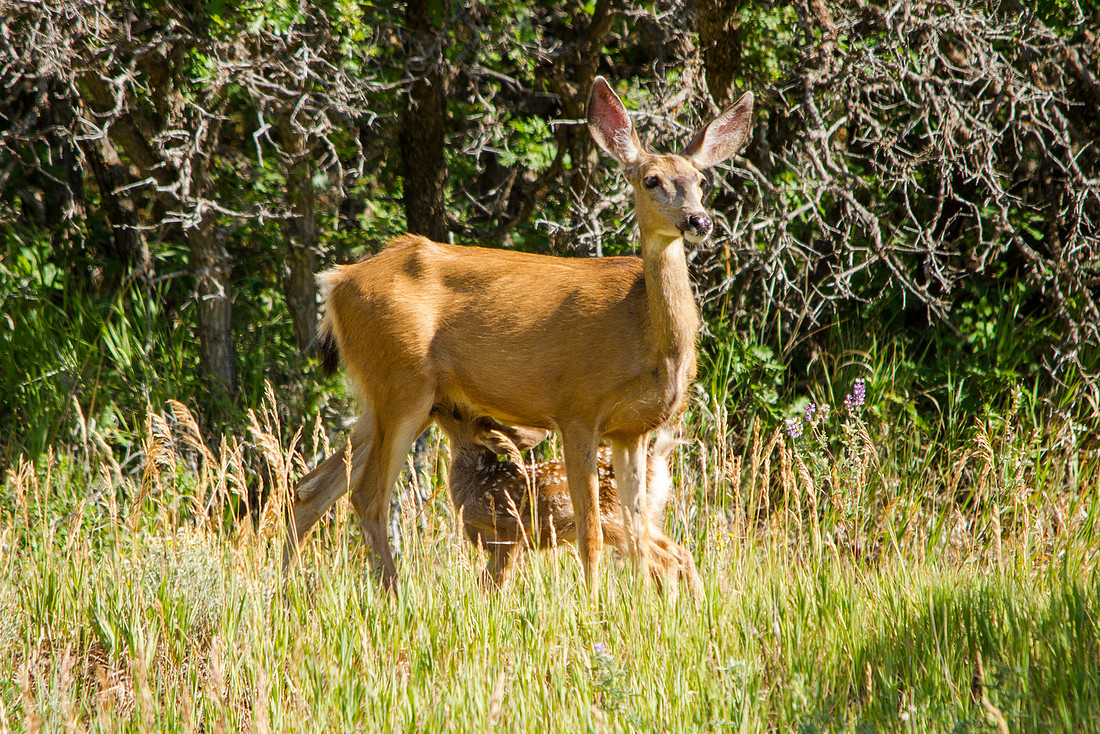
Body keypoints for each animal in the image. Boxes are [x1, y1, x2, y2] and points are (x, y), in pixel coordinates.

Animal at [429, 402, 701, 593]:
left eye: (457, 413)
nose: (435, 406)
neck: (477, 483)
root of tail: (658, 458)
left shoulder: (510, 533)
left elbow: (494, 583)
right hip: (646, 517)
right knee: (680, 554)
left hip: (613, 519)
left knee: (663, 561)